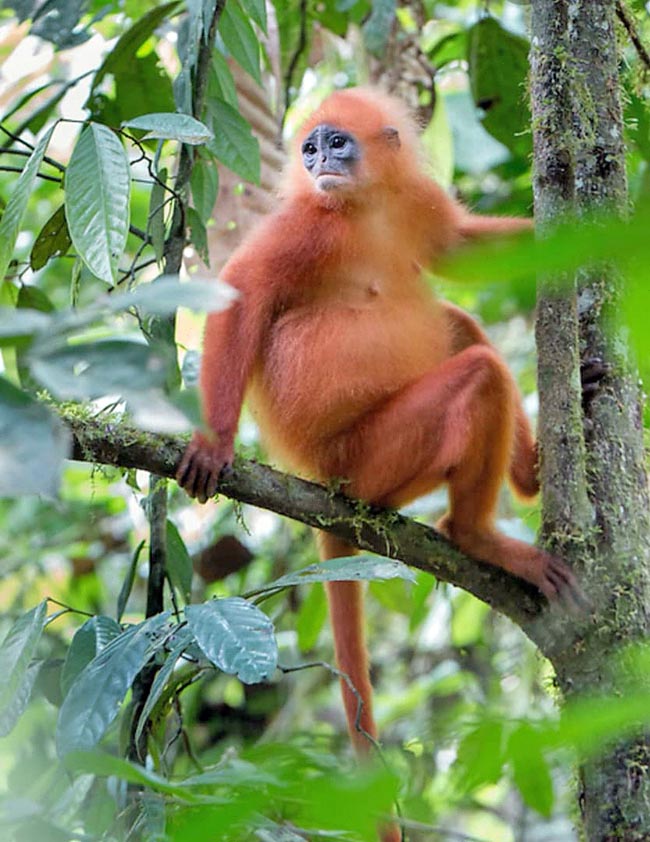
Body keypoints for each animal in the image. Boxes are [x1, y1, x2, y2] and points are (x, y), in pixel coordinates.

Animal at [176, 85, 576, 832]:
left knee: (457, 324)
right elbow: (242, 291)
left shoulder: (416, 204)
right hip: (368, 461)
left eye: (338, 144)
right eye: (309, 149)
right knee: (478, 374)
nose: (319, 163)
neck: (363, 211)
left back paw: (529, 475)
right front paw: (213, 441)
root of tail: (318, 481)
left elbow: (459, 253)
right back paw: (476, 535)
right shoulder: (306, 223)